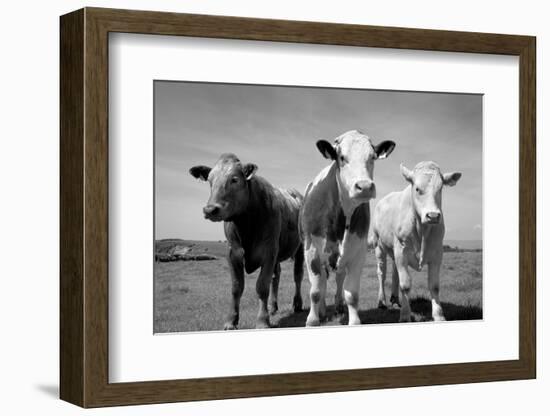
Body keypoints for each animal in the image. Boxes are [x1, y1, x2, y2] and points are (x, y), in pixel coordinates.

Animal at [191, 152, 306, 328]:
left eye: (234, 179)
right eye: (210, 180)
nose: (210, 209)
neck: (246, 225)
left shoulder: (268, 251)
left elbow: (262, 286)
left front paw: (262, 321)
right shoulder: (233, 253)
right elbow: (236, 287)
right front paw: (231, 320)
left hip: (299, 248)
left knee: (297, 275)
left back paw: (297, 304)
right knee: (276, 276)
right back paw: (272, 307)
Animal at [302, 130, 396, 324]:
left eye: (372, 157)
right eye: (342, 157)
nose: (365, 187)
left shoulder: (358, 251)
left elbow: (351, 294)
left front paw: (354, 321)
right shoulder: (311, 250)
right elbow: (315, 291)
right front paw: (312, 320)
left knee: (339, 279)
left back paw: (338, 307)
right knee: (322, 282)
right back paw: (322, 310)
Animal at [374, 160, 464, 322]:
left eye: (440, 188)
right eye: (417, 188)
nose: (433, 216)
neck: (421, 230)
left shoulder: (437, 253)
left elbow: (434, 286)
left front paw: (439, 315)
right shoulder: (401, 251)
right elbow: (405, 285)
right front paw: (405, 316)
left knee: (394, 273)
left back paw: (395, 300)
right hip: (379, 246)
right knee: (381, 273)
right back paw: (382, 302)